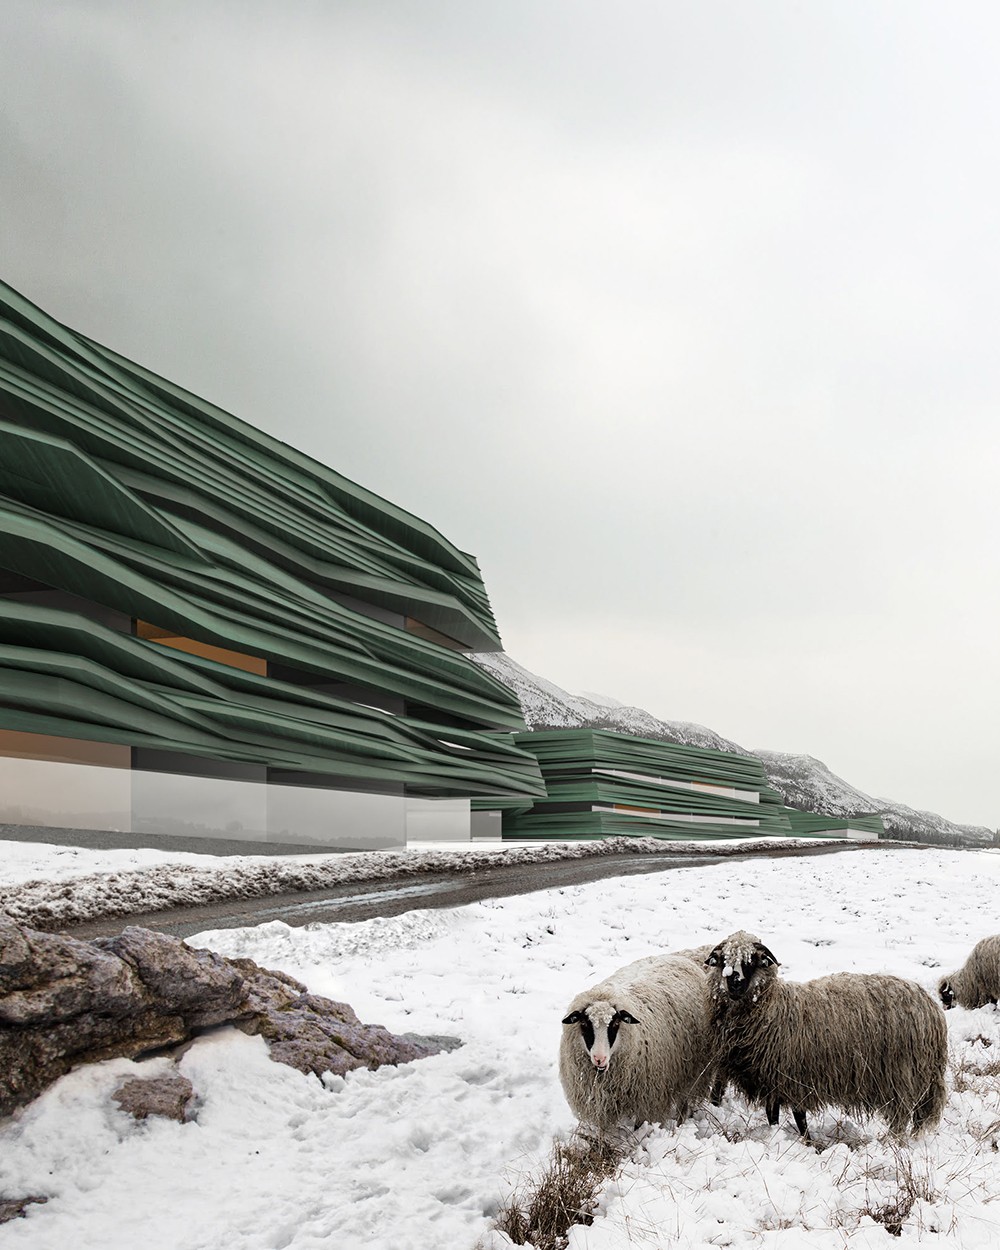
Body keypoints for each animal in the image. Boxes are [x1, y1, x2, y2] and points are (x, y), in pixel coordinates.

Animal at [557, 955, 715, 1135]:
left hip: (692, 1071)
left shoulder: (646, 1100)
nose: (599, 1058)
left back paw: (680, 1124)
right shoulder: (603, 1104)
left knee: (684, 1101)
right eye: (584, 1024)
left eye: (615, 1024)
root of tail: (679, 958)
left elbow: (640, 1127)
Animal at [705, 930, 945, 1145]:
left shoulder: (793, 1075)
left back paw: (892, 1143)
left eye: (752, 961)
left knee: (901, 1115)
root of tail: (932, 1009)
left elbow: (798, 1115)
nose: (734, 983)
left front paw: (806, 1141)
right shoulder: (774, 1078)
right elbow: (773, 1114)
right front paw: (778, 1135)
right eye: (723, 960)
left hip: (901, 1073)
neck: (772, 1008)